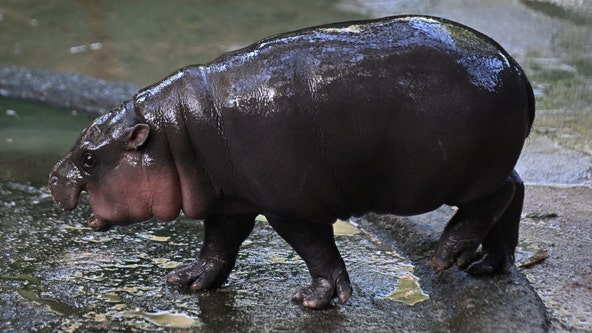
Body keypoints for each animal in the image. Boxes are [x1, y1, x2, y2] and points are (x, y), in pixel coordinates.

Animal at [48, 14, 536, 306]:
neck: (174, 134)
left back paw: (447, 256)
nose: (53, 176)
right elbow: (218, 243)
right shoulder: (232, 199)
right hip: (487, 165)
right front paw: (187, 280)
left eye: (89, 158)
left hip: (458, 174)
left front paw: (314, 300)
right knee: (516, 190)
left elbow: (316, 250)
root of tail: (517, 70)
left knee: (495, 198)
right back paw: (487, 265)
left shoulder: (290, 205)